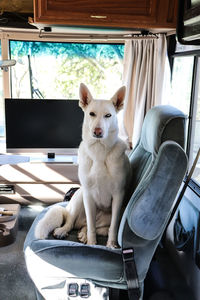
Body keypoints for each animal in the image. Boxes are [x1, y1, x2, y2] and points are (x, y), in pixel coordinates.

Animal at [35, 83, 130, 247]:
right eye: (91, 114)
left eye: (108, 115)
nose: (97, 131)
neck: (99, 152)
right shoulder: (88, 195)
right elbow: (91, 225)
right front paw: (91, 243)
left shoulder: (118, 196)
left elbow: (113, 226)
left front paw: (111, 244)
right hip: (80, 197)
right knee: (73, 222)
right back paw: (64, 231)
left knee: (96, 227)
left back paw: (83, 234)